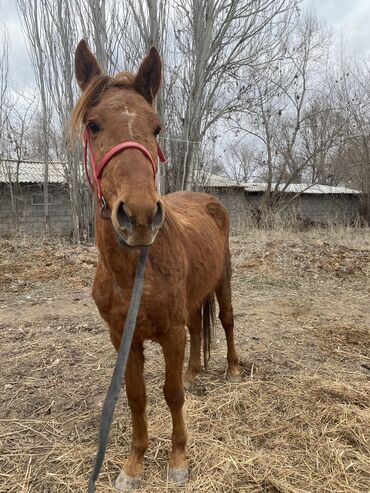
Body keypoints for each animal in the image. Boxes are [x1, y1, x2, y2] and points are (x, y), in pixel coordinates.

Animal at [72, 41, 240, 488]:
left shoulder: (170, 333)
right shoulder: (123, 338)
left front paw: (178, 459)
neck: (133, 275)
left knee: (227, 320)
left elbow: (170, 393)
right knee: (199, 327)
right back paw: (195, 373)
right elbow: (136, 396)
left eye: (157, 128)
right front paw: (134, 464)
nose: (141, 215)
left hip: (223, 279)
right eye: (93, 125)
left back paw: (233, 370)